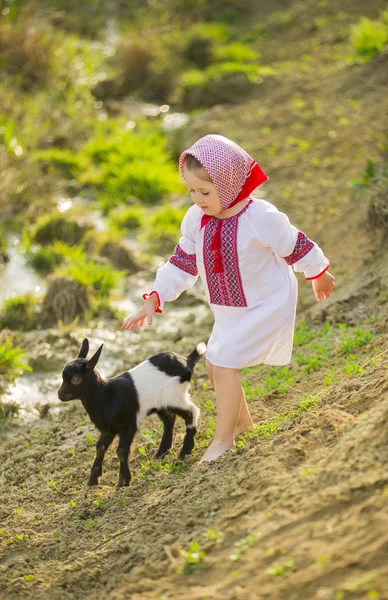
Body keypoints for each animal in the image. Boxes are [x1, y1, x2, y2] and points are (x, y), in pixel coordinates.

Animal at [57, 338, 205, 488]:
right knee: (169, 419)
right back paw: (162, 453)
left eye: (76, 379)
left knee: (191, 412)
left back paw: (184, 453)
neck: (107, 395)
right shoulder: (109, 429)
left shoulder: (127, 425)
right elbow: (100, 447)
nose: (60, 394)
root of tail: (187, 360)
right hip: (161, 403)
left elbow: (121, 451)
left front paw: (123, 482)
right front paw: (92, 480)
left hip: (174, 396)